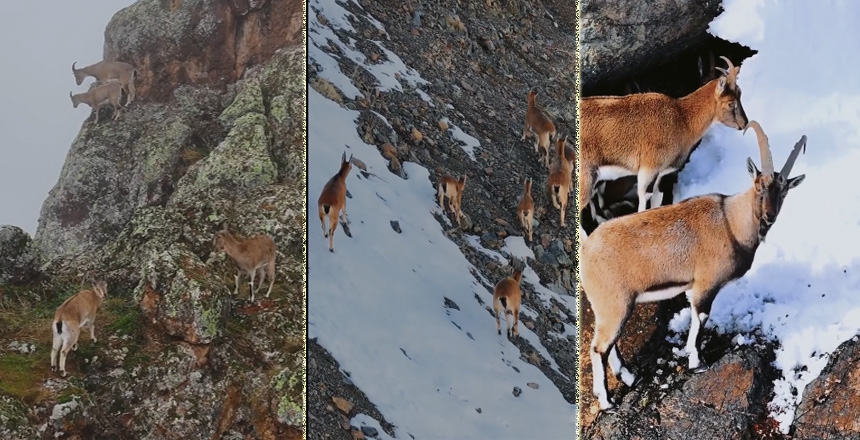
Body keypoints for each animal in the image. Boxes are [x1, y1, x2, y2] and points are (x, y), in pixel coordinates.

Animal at [580, 120, 808, 412]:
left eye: (784, 191)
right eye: (759, 186)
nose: (769, 216)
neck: (731, 223)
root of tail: (587, 252)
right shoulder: (706, 285)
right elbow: (700, 319)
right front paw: (697, 363)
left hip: (611, 308)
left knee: (609, 344)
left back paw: (630, 378)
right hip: (614, 304)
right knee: (598, 348)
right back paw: (607, 401)